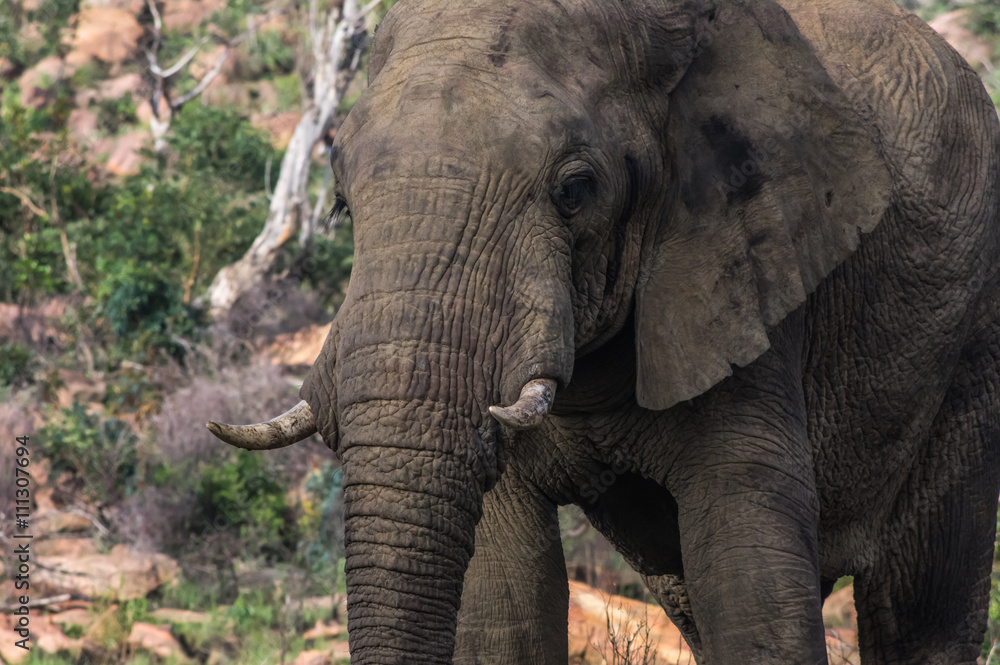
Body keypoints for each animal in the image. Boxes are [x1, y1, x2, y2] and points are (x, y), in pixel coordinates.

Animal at [205, 0, 1000, 660]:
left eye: (575, 190)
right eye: (340, 200)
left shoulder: (751, 276)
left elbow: (751, 581)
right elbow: (503, 605)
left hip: (971, 337)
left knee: (923, 607)